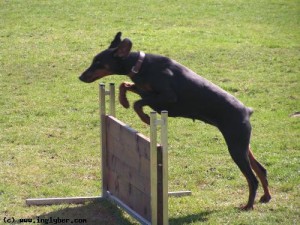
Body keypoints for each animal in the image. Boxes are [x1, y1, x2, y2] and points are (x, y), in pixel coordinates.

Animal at [78, 31, 270, 209]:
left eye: (99, 63)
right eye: (94, 60)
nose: (80, 77)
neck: (141, 66)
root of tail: (247, 111)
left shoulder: (167, 97)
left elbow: (138, 103)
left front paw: (145, 117)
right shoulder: (143, 89)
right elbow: (124, 85)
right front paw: (123, 100)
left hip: (236, 146)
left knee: (252, 179)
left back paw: (248, 206)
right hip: (242, 145)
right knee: (261, 169)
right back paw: (266, 197)